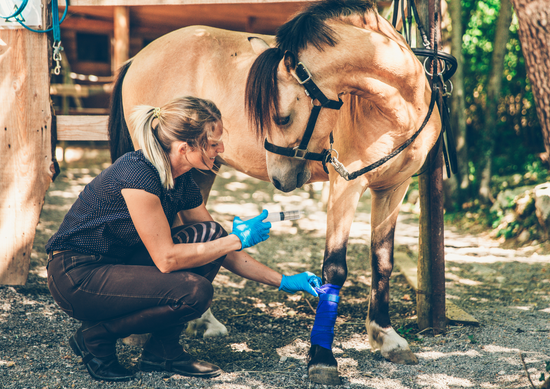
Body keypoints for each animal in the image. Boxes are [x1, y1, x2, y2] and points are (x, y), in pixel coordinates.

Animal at [108, 0, 444, 382]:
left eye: (281, 117)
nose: (280, 179)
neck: (398, 107)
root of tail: (138, 57)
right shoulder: (346, 184)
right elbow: (335, 269)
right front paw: (322, 357)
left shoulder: (393, 188)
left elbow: (383, 262)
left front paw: (386, 338)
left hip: (199, 171)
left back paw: (202, 321)